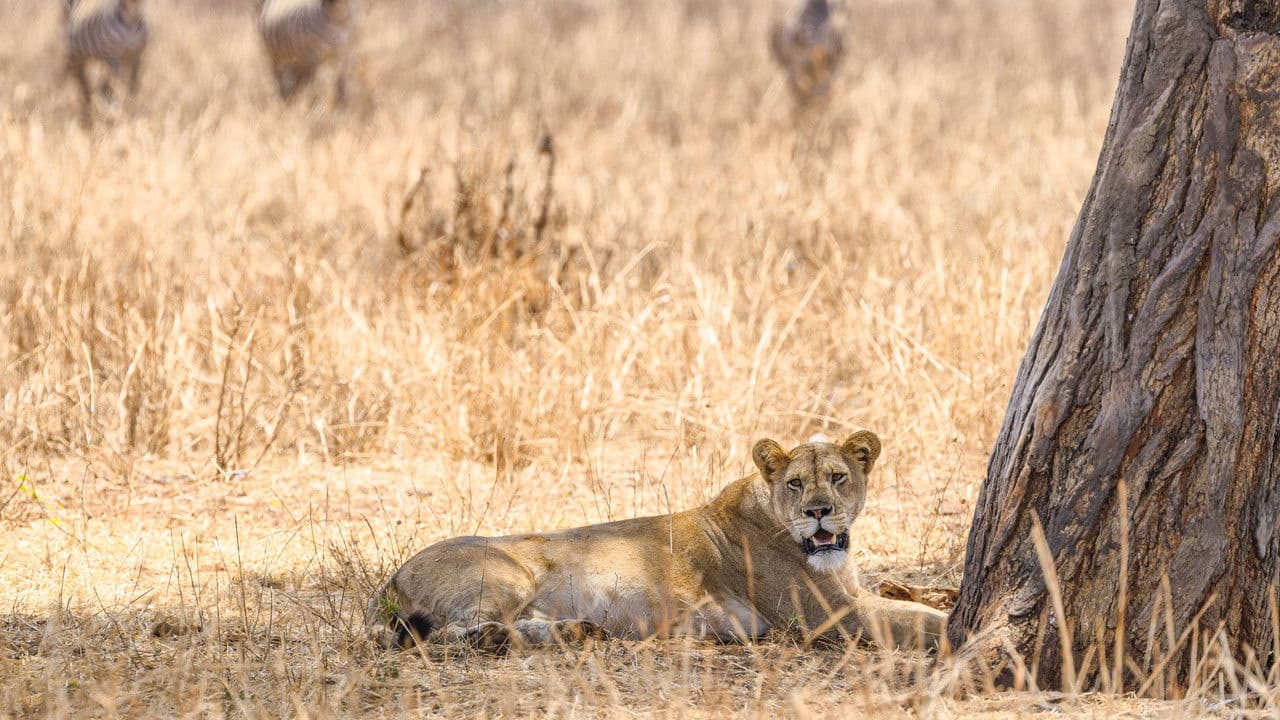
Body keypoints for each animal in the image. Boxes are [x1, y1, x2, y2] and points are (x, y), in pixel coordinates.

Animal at [366, 431, 948, 652]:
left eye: (838, 477)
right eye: (795, 484)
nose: (818, 513)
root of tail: (389, 578)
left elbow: (913, 597)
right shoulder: (831, 617)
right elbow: (919, 622)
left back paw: (576, 631)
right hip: (507, 574)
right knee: (442, 634)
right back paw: (494, 640)